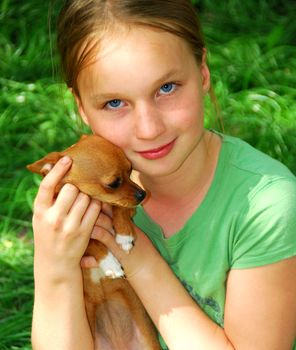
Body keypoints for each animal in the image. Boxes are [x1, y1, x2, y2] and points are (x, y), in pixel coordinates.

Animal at [27, 135, 161, 350]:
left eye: (131, 170)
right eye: (114, 183)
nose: (142, 195)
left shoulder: (127, 207)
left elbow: (120, 208)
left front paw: (124, 235)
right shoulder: (74, 231)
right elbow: (92, 242)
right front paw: (109, 262)